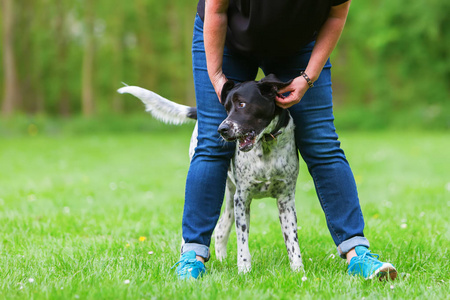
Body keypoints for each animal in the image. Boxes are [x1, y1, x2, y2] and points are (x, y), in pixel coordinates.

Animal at [118, 74, 304, 274]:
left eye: (242, 104)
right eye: (226, 108)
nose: (222, 129)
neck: (266, 147)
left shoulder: (286, 200)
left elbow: (292, 241)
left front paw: (298, 271)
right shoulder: (243, 198)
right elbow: (242, 241)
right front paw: (244, 269)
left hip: (231, 198)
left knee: (221, 228)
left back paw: (222, 260)